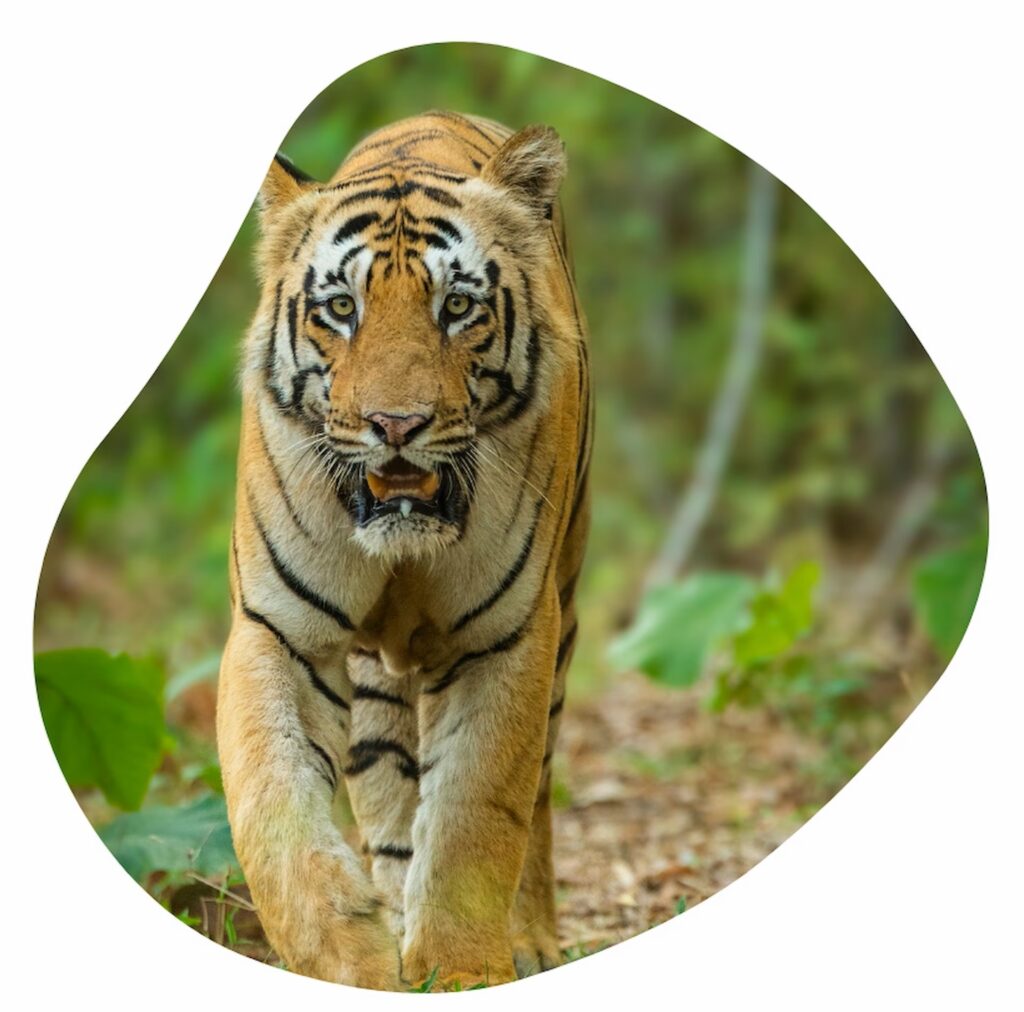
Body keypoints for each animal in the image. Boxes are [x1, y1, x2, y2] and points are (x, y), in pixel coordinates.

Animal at [216, 110, 591, 991]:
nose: (396, 424)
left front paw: (461, 971)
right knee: (388, 794)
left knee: (536, 792)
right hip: (375, 684)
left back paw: (529, 938)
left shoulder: (507, 638)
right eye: (340, 307)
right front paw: (351, 961)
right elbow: (274, 806)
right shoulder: (278, 629)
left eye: (456, 305)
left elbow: (474, 817)